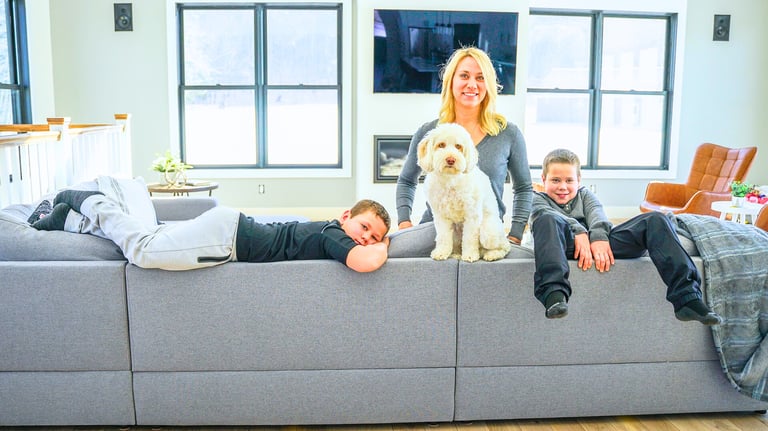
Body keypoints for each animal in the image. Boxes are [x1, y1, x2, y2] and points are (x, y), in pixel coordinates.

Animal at [416, 123, 511, 262]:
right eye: (441, 145)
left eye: (458, 146)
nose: (451, 159)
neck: (450, 179)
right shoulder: (441, 216)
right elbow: (443, 237)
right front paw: (441, 252)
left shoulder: (472, 215)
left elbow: (470, 239)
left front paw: (470, 255)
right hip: (456, 233)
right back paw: (456, 254)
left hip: (488, 233)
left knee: (504, 247)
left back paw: (492, 254)